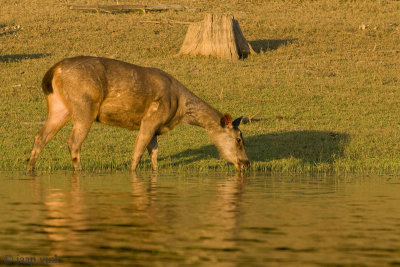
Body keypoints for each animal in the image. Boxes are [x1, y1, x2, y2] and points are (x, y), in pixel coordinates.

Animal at [26, 57, 250, 173]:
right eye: (239, 139)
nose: (246, 163)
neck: (180, 110)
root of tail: (53, 71)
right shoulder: (151, 119)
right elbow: (137, 154)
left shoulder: (156, 128)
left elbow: (154, 154)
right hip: (84, 106)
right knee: (73, 142)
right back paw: (79, 172)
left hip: (59, 107)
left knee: (40, 136)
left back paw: (29, 169)